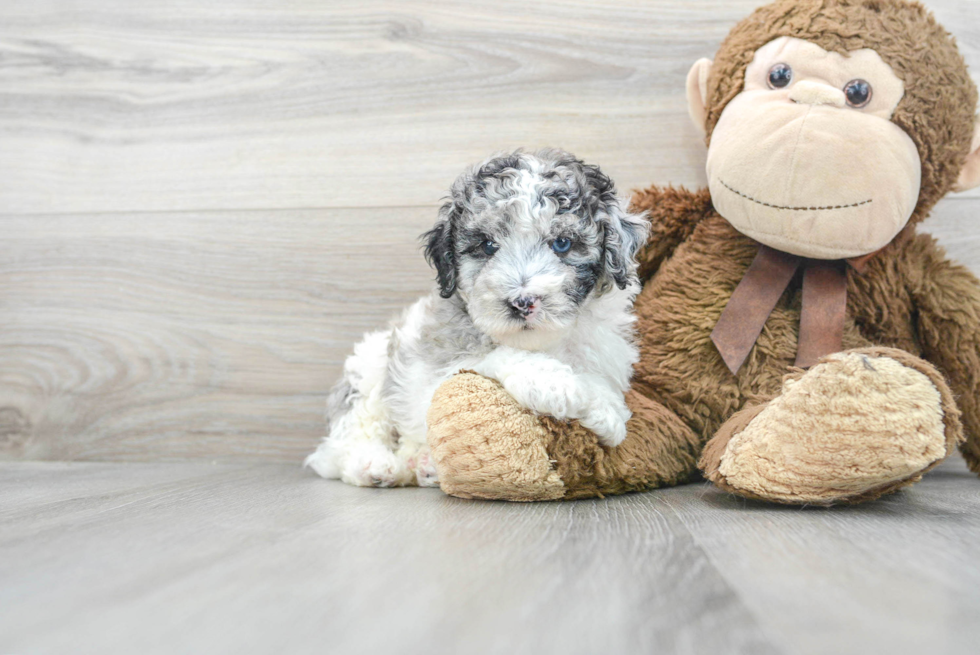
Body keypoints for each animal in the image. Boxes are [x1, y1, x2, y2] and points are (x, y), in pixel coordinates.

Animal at [302, 149, 648, 486]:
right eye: (487, 245)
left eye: (562, 243)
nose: (522, 302)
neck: (543, 342)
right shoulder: (436, 371)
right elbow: (497, 357)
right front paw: (558, 384)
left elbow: (598, 379)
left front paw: (606, 411)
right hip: (368, 371)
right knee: (349, 437)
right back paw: (374, 465)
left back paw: (422, 464)